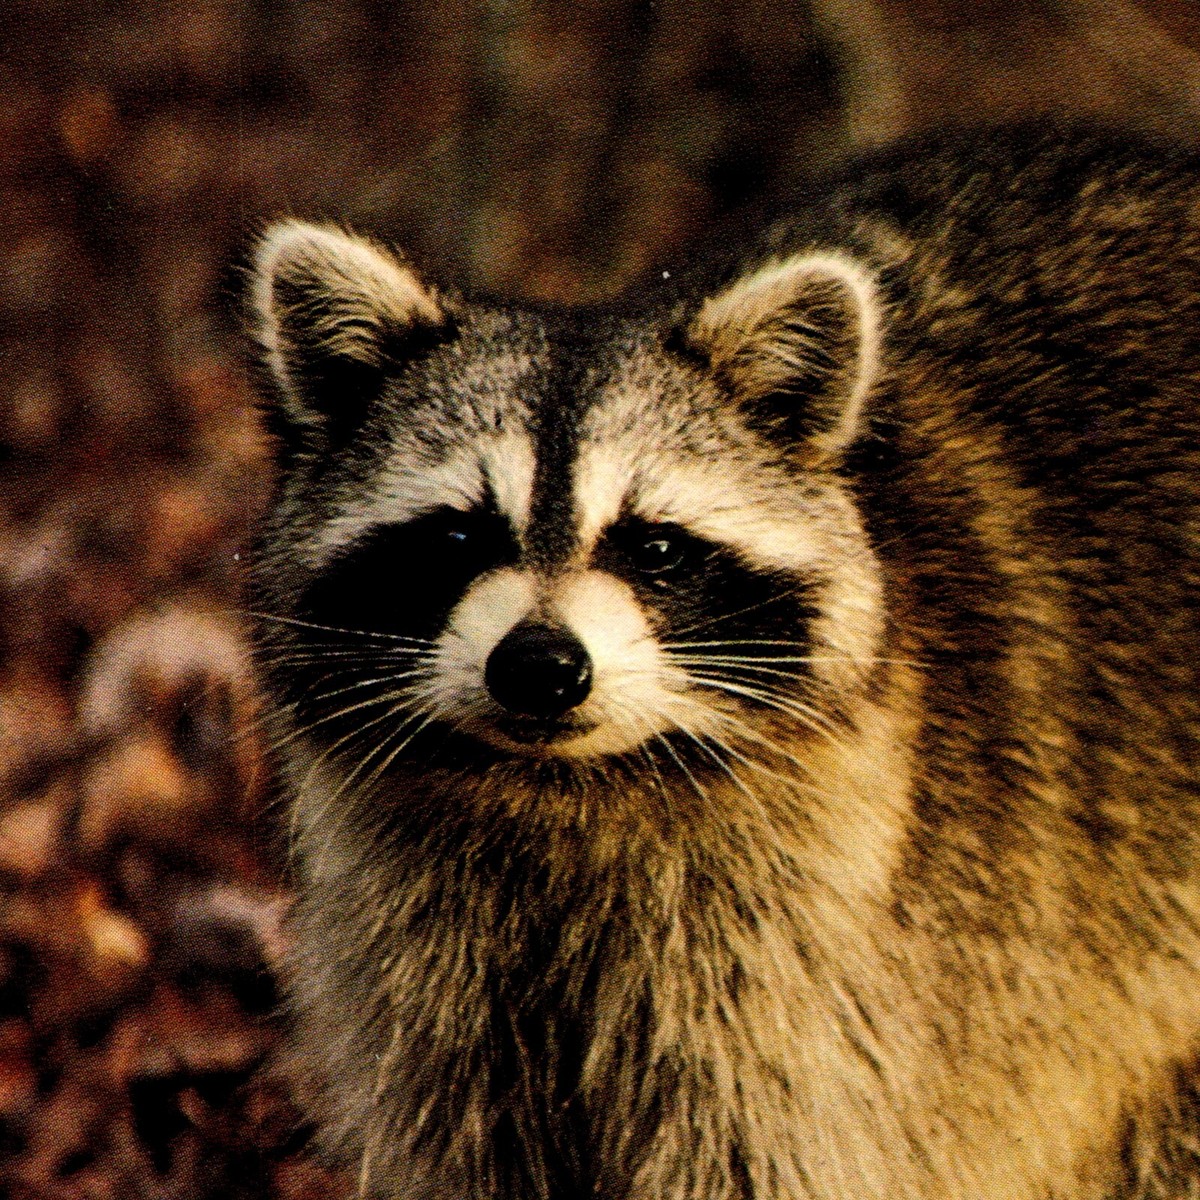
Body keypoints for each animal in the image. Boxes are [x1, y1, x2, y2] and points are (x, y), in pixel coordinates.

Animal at [246, 130, 1200, 1200]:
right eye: (457, 537)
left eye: (655, 548)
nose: (541, 666)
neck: (563, 799)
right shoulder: (429, 965)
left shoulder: (825, 966)